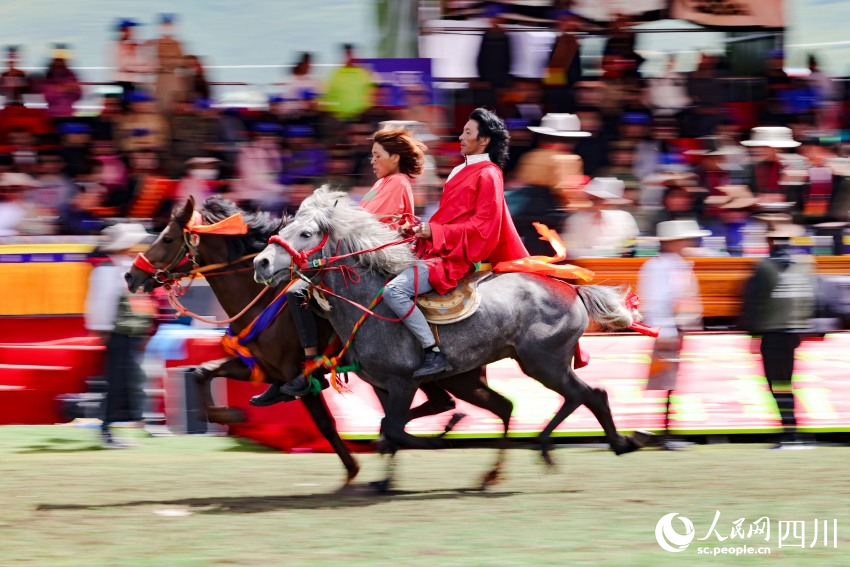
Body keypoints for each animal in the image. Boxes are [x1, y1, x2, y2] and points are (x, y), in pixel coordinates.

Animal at [125, 197, 510, 486]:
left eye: (168, 238)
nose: (131, 275)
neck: (263, 299)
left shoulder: (297, 377)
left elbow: (325, 423)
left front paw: (352, 469)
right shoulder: (263, 368)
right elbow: (202, 371)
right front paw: (230, 413)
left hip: (452, 376)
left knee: (449, 404)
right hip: (434, 378)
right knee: (441, 404)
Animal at [255, 189, 644, 482]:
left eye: (306, 233)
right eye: (286, 227)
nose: (262, 262)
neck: (367, 302)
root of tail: (573, 289)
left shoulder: (402, 381)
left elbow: (393, 428)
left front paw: (437, 441)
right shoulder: (383, 385)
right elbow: (388, 426)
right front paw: (389, 474)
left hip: (544, 362)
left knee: (587, 394)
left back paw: (556, 446)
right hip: (500, 371)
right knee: (537, 402)